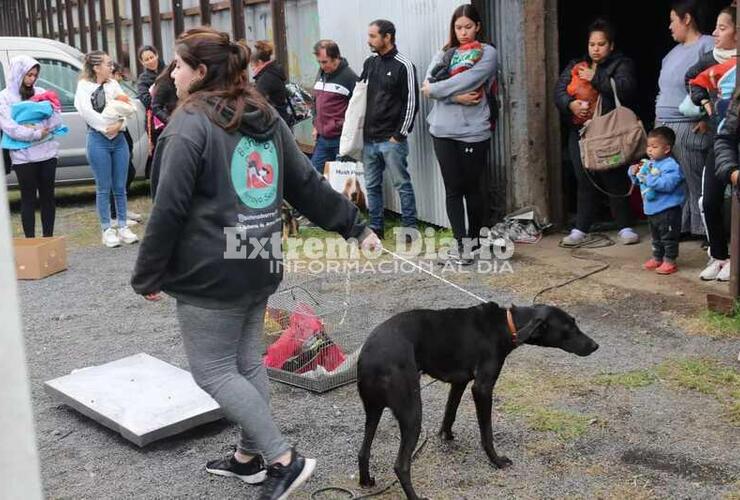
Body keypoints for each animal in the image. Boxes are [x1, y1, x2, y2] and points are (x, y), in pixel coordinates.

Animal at [356, 302, 600, 498]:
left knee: (363, 451)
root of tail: (369, 358)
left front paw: (446, 436)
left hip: (373, 410)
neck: (507, 325)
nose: (595, 346)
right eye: (569, 328)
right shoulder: (482, 388)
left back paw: (366, 481)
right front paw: (496, 461)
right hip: (412, 413)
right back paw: (415, 496)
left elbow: (450, 412)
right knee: (401, 465)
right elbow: (487, 433)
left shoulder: (459, 383)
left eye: (575, 323)